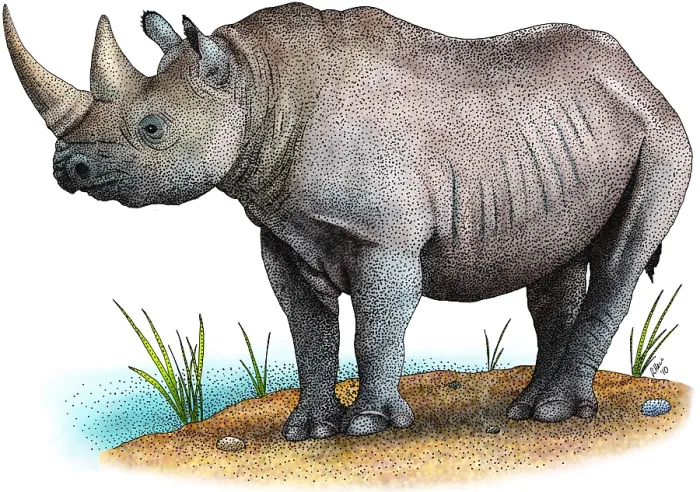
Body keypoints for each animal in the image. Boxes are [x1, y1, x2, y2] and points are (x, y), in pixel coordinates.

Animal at [3, 2, 691, 441]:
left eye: (151, 128)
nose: (69, 166)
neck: (257, 84)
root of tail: (637, 75)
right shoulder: (282, 228)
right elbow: (307, 328)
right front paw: (306, 430)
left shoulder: (387, 238)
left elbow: (376, 326)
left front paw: (368, 426)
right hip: (566, 141)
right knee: (554, 267)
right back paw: (529, 410)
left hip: (662, 135)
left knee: (622, 259)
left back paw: (557, 414)